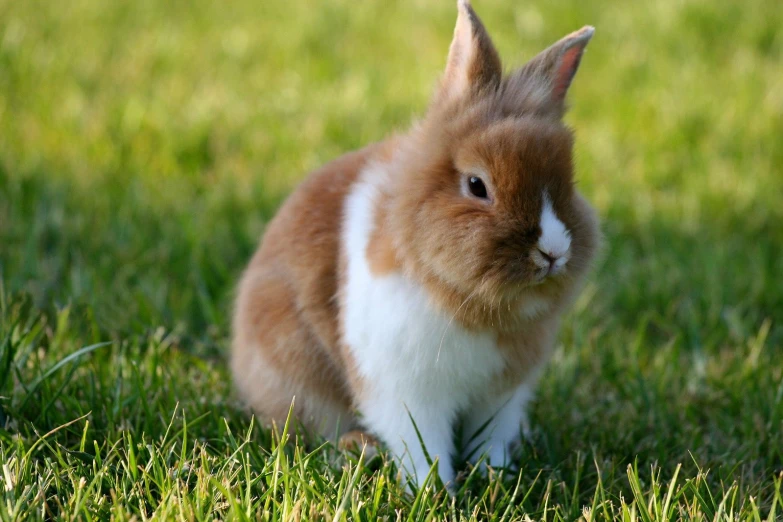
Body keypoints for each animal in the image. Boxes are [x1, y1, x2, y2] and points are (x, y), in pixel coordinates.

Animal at [231, 0, 600, 488]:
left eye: (568, 183)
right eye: (477, 185)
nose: (553, 252)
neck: (478, 304)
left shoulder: (501, 394)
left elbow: (490, 437)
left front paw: (496, 475)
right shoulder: (405, 391)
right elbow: (422, 444)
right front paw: (435, 489)